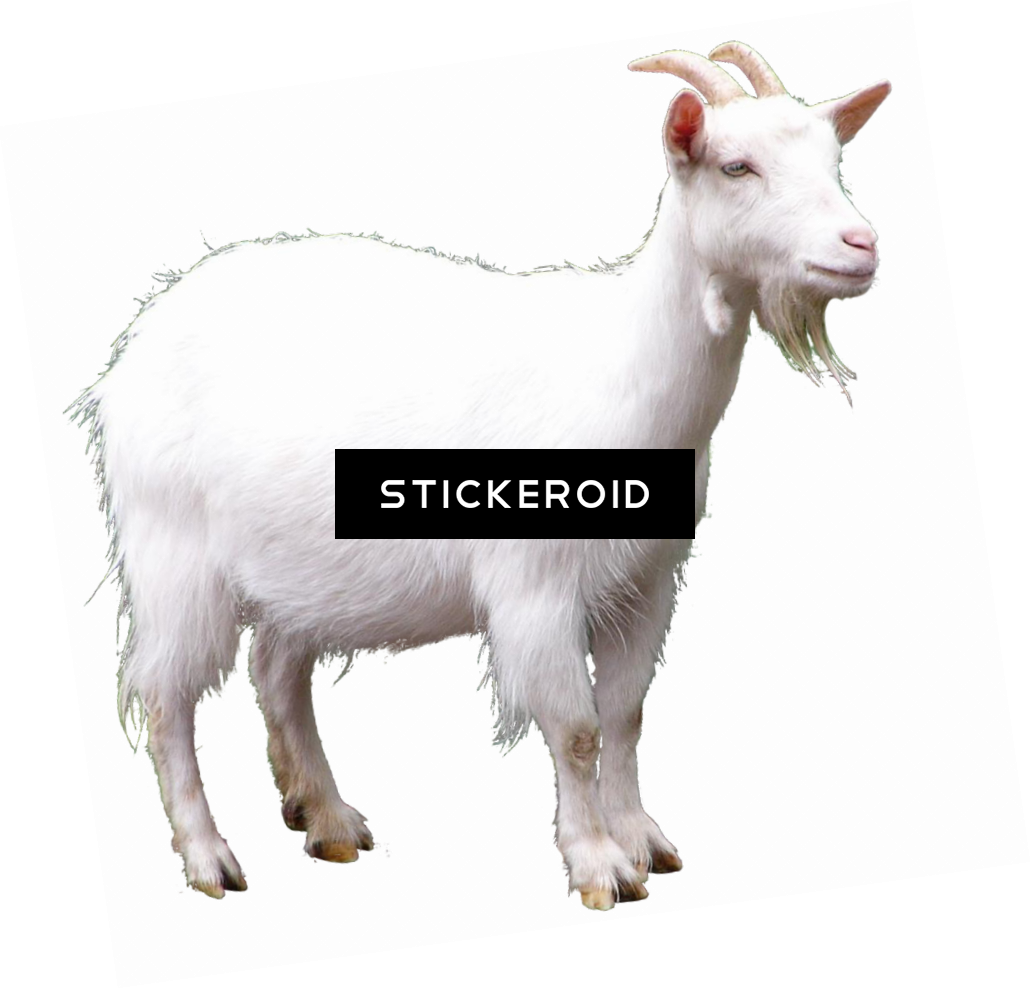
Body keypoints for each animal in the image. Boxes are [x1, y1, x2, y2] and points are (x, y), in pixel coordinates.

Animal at [66, 42, 891, 910]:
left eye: (835, 161)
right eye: (736, 165)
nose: (861, 245)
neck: (620, 365)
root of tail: (146, 331)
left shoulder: (649, 578)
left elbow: (626, 714)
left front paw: (642, 843)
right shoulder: (535, 582)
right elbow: (577, 728)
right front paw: (598, 867)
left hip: (294, 561)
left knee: (277, 674)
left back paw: (329, 823)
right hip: (174, 549)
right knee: (167, 696)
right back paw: (209, 860)